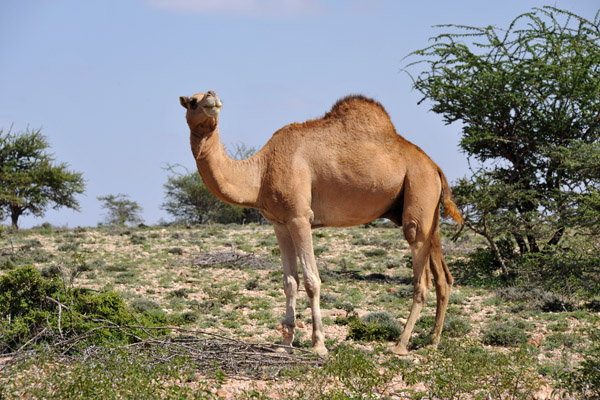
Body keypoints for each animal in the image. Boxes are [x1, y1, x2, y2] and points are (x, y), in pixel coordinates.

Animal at [179, 90, 464, 356]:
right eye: (191, 102)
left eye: (199, 99)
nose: (211, 97)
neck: (260, 171)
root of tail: (436, 167)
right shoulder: (279, 223)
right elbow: (289, 282)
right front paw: (285, 343)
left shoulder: (299, 217)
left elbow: (311, 281)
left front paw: (318, 344)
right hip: (429, 214)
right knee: (444, 278)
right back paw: (432, 342)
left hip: (418, 194)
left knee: (421, 278)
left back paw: (401, 344)